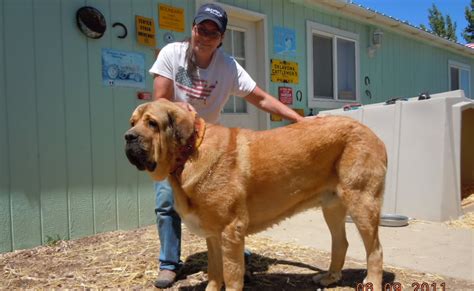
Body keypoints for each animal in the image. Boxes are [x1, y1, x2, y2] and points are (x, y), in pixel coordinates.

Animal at [124, 99, 386, 290]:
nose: (128, 136)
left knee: (375, 250)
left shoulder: (231, 230)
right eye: (132, 122)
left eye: (152, 123)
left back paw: (371, 282)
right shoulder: (213, 234)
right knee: (341, 243)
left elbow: (231, 274)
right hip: (331, 208)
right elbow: (214, 271)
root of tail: (374, 135)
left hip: (363, 204)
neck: (188, 153)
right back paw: (329, 277)